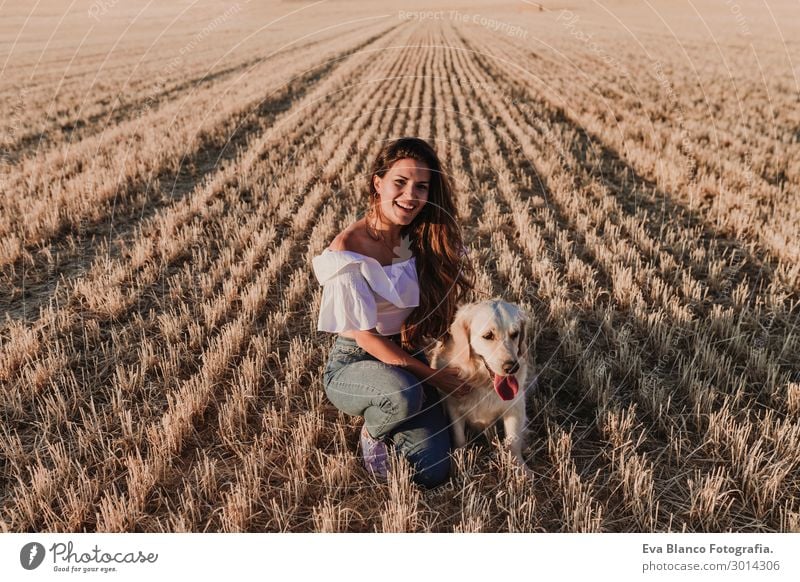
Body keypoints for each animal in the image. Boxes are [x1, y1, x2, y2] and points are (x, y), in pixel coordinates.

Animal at [428, 302, 536, 474]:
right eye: (488, 336)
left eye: (515, 334)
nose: (512, 367)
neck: (483, 381)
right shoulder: (453, 406)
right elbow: (459, 438)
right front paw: (457, 466)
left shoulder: (515, 405)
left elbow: (513, 441)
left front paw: (521, 469)